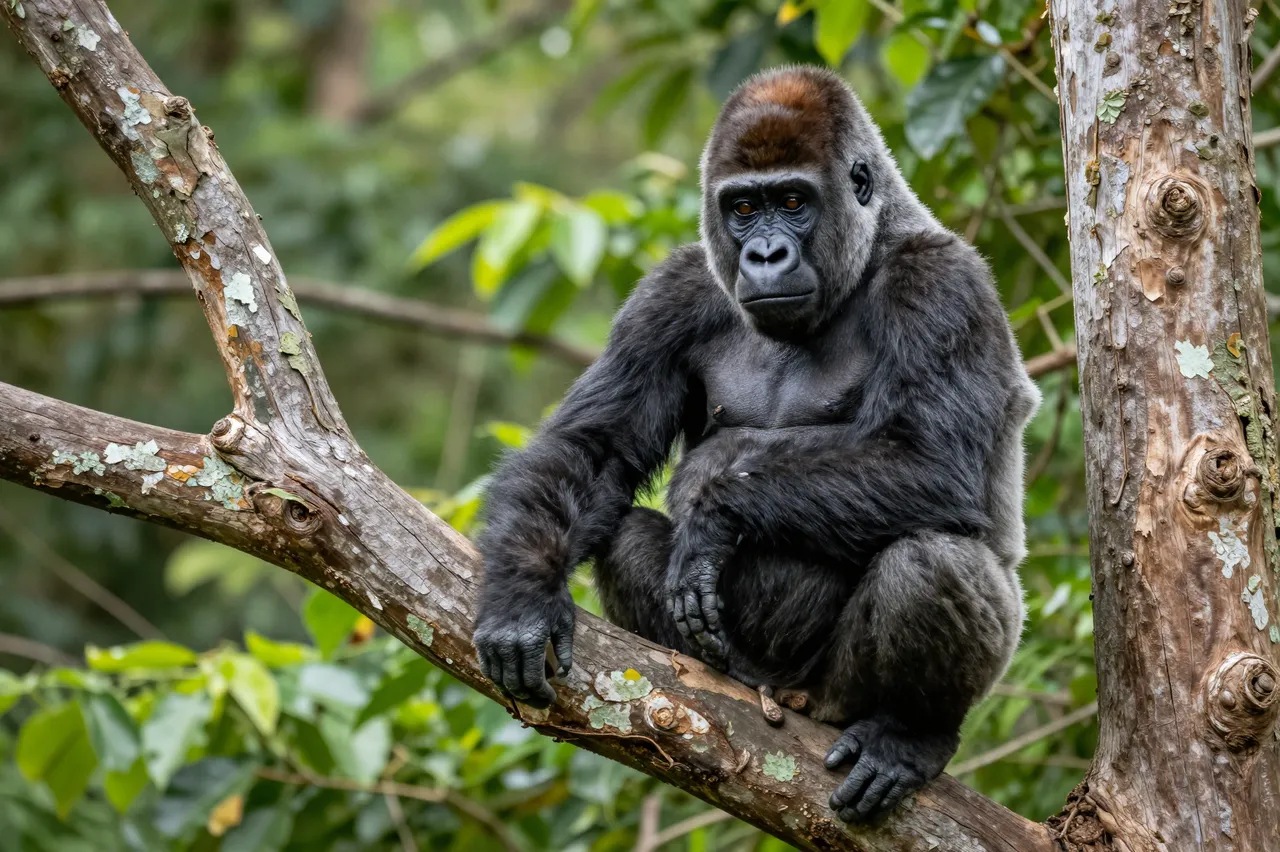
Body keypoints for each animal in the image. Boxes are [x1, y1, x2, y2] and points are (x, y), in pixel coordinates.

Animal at [472, 65, 1039, 822]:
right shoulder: (673, 290)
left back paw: (909, 733)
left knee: (936, 563)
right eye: (742, 208)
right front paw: (521, 600)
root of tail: (783, 694)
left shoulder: (942, 284)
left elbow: (932, 464)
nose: (765, 253)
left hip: (833, 698)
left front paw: (715, 509)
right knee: (625, 536)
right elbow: (590, 449)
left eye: (794, 201)